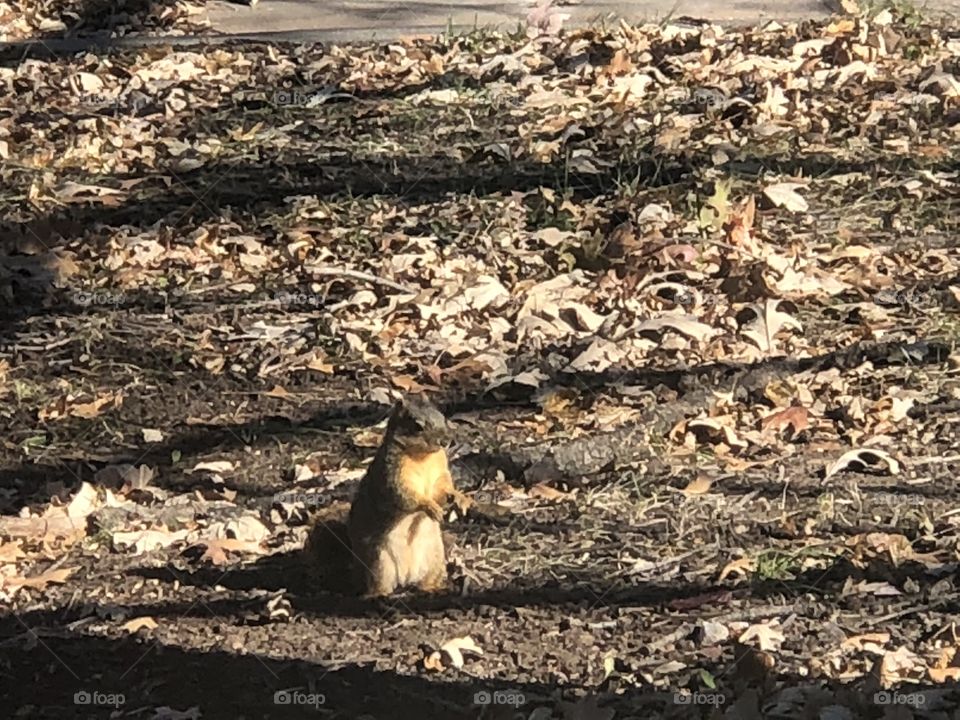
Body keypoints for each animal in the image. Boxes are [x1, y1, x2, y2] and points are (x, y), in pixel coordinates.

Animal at [344, 394, 470, 596]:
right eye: (417, 426)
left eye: (442, 417)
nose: (445, 442)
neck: (423, 456)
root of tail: (406, 577)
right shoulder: (392, 475)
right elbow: (404, 495)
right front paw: (429, 506)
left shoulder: (439, 474)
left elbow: (442, 489)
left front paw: (459, 497)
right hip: (379, 563)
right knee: (378, 586)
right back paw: (380, 595)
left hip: (435, 556)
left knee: (426, 581)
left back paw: (434, 588)